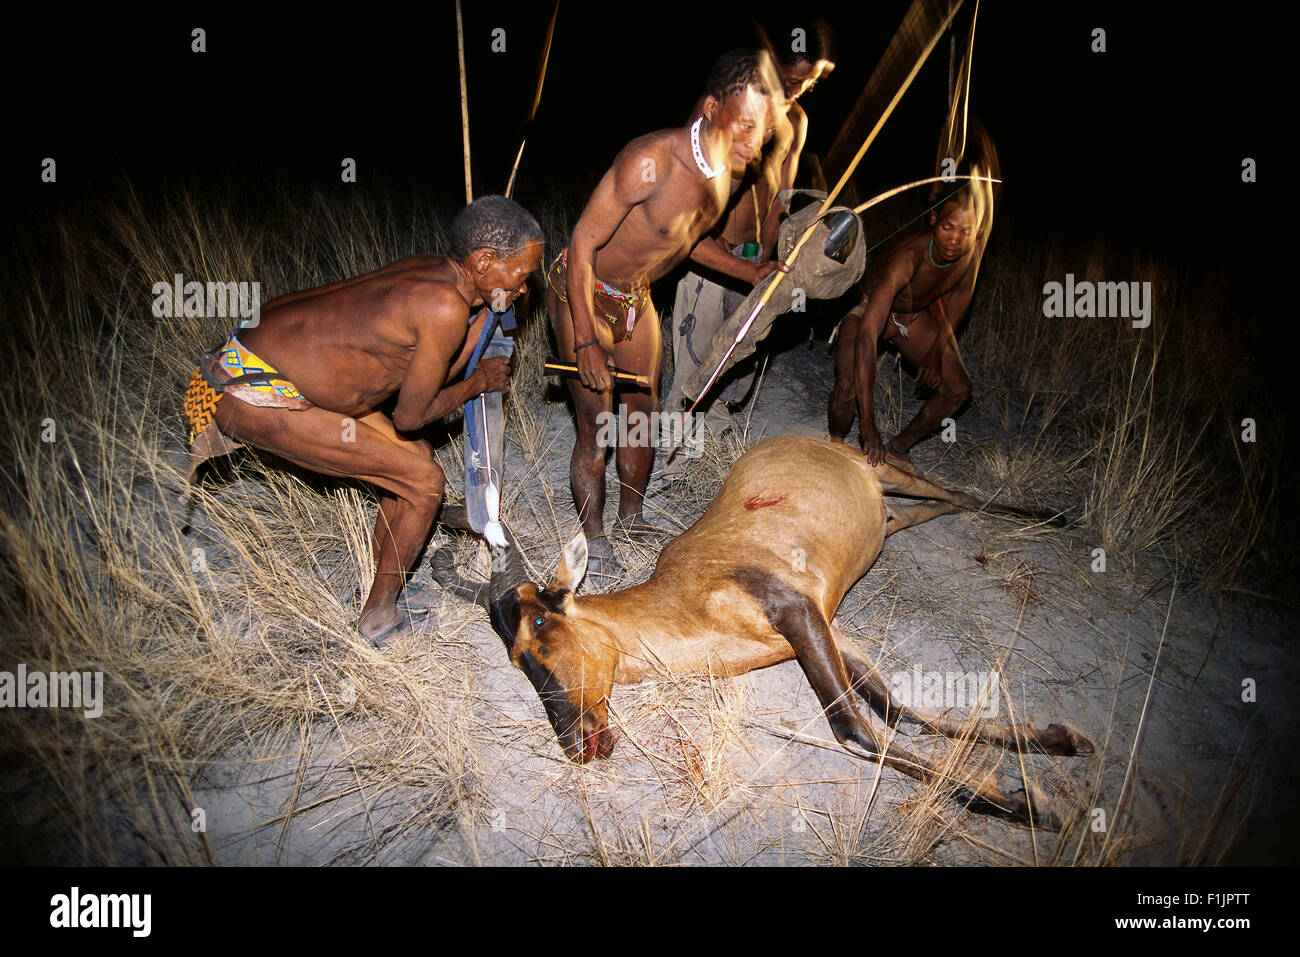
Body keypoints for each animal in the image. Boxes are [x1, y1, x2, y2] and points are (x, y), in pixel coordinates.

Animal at [431, 434, 1092, 832]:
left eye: (541, 623)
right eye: (514, 660)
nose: (577, 742)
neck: (687, 589)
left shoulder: (798, 614)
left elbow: (854, 728)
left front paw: (1032, 807)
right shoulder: (829, 630)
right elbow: (898, 710)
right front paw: (1057, 745)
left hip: (887, 471)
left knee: (954, 491)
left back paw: (1055, 515)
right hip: (887, 515)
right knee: (932, 510)